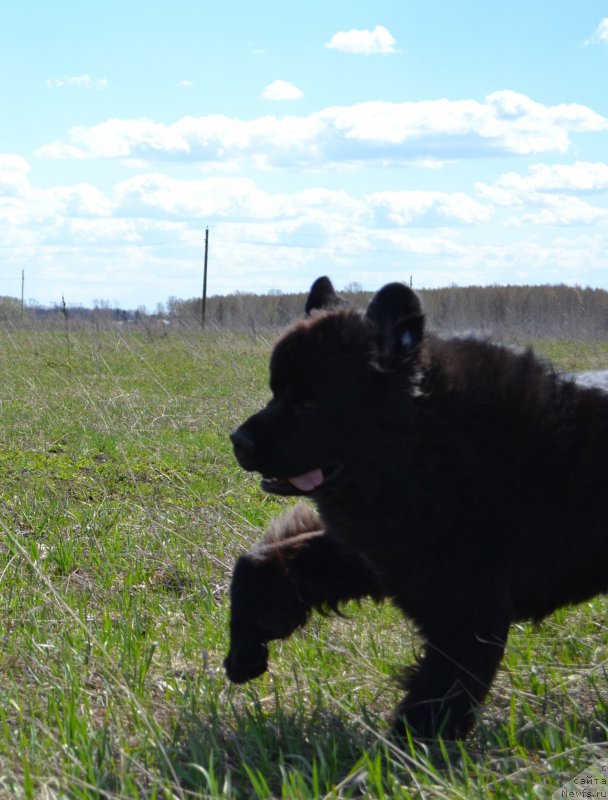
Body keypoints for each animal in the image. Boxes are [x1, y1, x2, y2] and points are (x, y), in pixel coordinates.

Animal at [224, 278, 608, 740]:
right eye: (275, 393)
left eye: (310, 404)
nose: (238, 440)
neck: (426, 447)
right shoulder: (377, 552)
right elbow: (259, 561)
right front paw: (244, 653)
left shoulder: (466, 608)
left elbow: (438, 692)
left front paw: (399, 752)